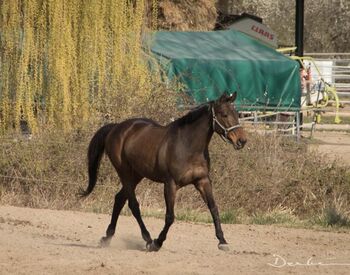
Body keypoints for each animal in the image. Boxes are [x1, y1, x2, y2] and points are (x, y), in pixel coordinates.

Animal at [81, 93, 247, 252]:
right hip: (124, 173)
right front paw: (157, 243)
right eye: (224, 114)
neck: (188, 145)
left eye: (237, 114)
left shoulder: (203, 181)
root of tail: (116, 128)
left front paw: (223, 241)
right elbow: (170, 217)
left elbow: (214, 209)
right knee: (133, 205)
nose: (242, 140)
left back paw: (107, 237)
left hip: (137, 175)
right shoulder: (170, 184)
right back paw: (148, 239)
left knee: (119, 199)